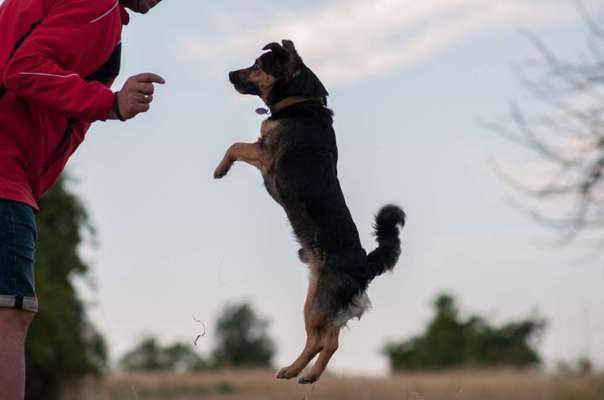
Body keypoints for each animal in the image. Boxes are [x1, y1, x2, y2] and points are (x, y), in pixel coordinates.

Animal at [214, 40, 406, 384]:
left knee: (320, 340)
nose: (229, 74)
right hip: (321, 300)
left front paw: (220, 170)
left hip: (315, 305)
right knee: (330, 341)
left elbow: (235, 146)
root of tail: (364, 265)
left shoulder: (265, 153)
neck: (301, 100)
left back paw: (293, 370)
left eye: (258, 66)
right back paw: (309, 374)